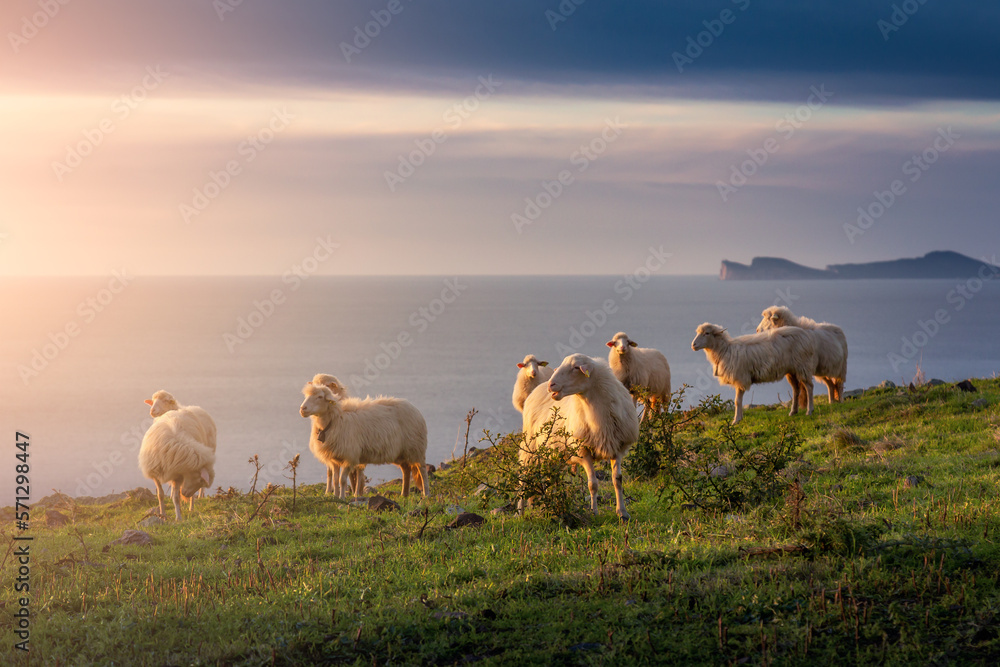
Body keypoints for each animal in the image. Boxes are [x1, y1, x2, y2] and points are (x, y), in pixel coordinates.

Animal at [299, 382, 430, 498]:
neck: (334, 420)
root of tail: (414, 408)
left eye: (320, 397)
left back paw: (426, 494)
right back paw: (404, 494)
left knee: (422, 470)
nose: (302, 409)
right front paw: (335, 497)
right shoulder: (334, 459)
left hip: (416, 447)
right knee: (406, 469)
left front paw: (342, 498)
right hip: (401, 452)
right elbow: (335, 480)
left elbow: (342, 480)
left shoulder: (349, 457)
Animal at [521, 354, 640, 520]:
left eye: (576, 367)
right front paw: (594, 512)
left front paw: (622, 513)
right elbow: (592, 484)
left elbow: (617, 481)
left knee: (551, 478)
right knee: (523, 480)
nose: (551, 385)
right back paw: (519, 513)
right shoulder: (584, 451)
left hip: (554, 455)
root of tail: (537, 389)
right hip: (529, 449)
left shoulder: (617, 448)